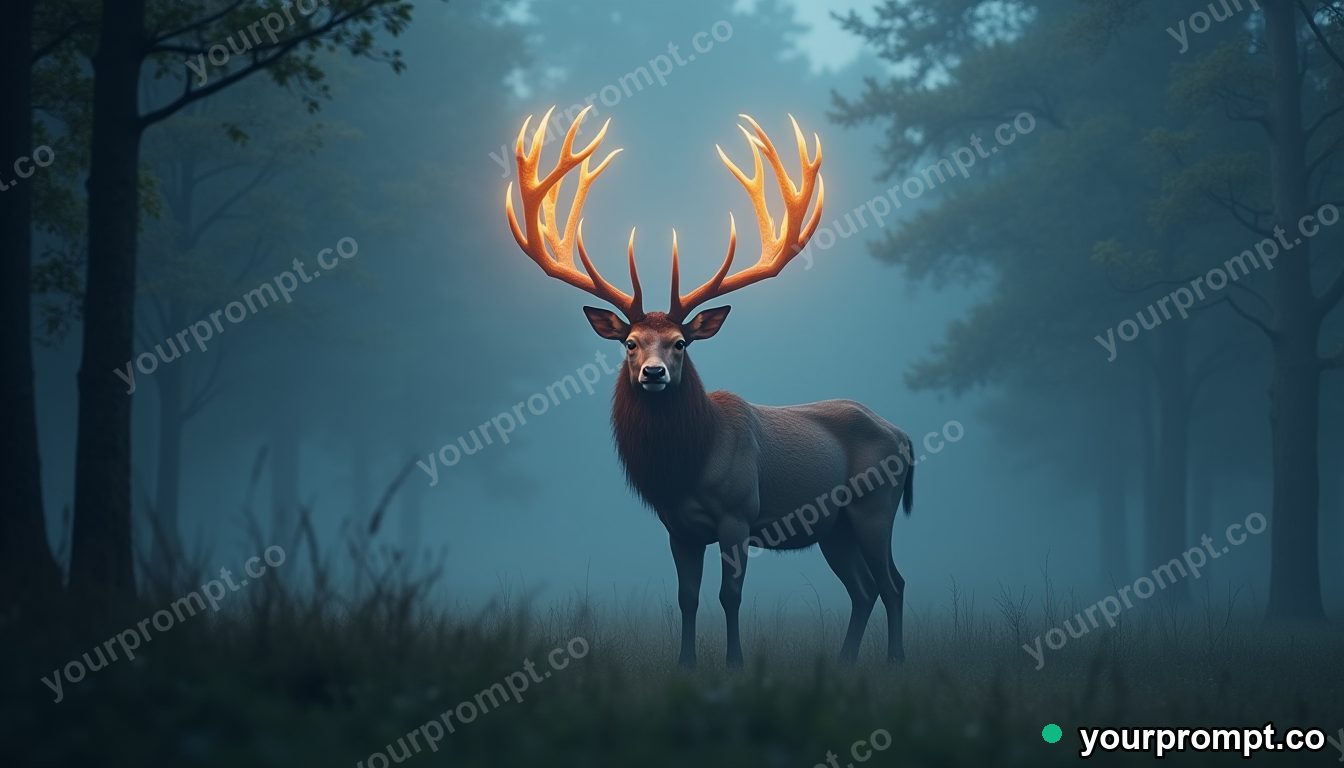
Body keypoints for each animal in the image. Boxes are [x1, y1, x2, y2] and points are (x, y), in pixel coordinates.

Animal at [504, 106, 916, 668]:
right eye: (630, 343)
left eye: (681, 343)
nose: (653, 373)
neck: (688, 466)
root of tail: (904, 436)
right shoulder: (677, 527)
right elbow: (687, 596)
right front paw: (686, 663)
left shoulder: (739, 513)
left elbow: (730, 595)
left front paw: (735, 663)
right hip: (836, 528)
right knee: (864, 589)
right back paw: (846, 663)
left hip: (875, 507)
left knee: (893, 583)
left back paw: (894, 662)